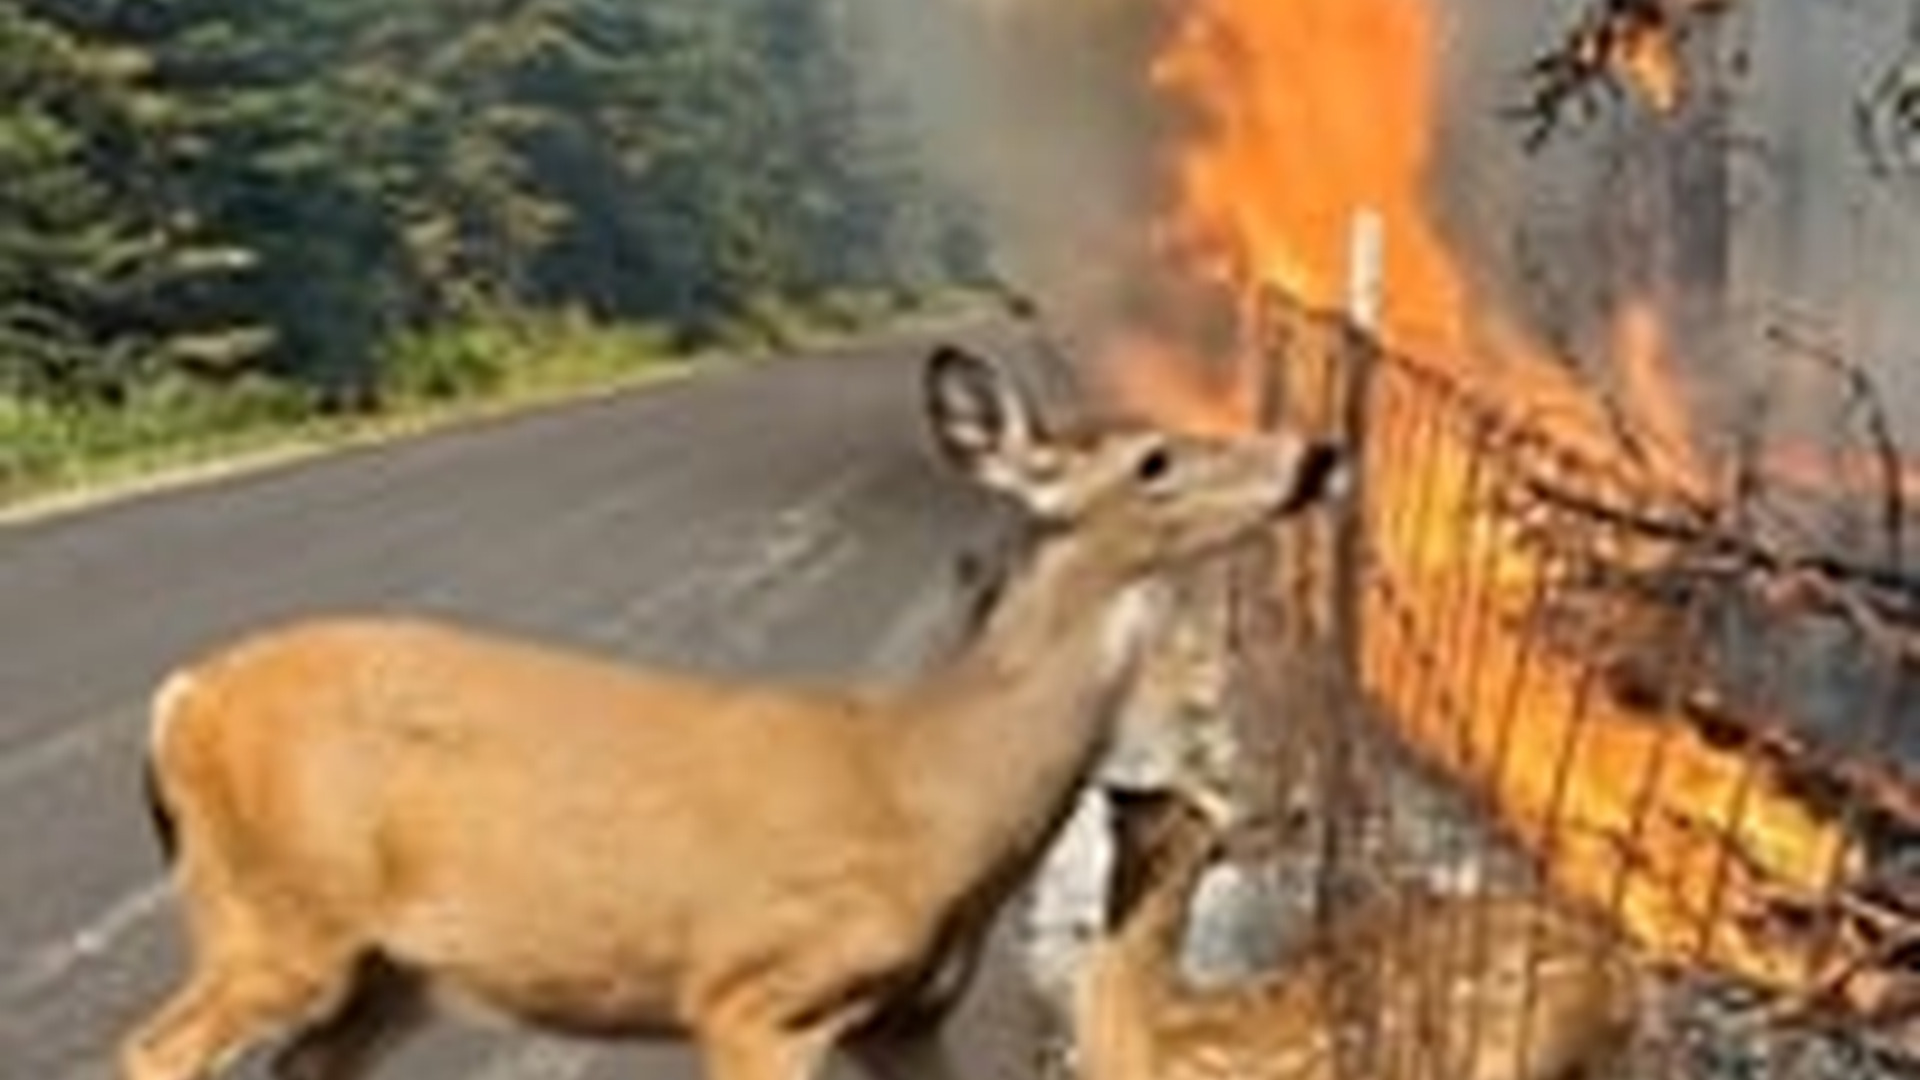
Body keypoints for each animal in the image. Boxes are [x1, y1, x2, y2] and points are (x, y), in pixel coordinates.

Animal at [121, 343, 1347, 1080]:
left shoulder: (910, 1017)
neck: (930, 790)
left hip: (379, 968)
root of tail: (179, 701)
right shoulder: (758, 992)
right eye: (1155, 460)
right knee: (150, 1053)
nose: (1321, 452)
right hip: (275, 913)